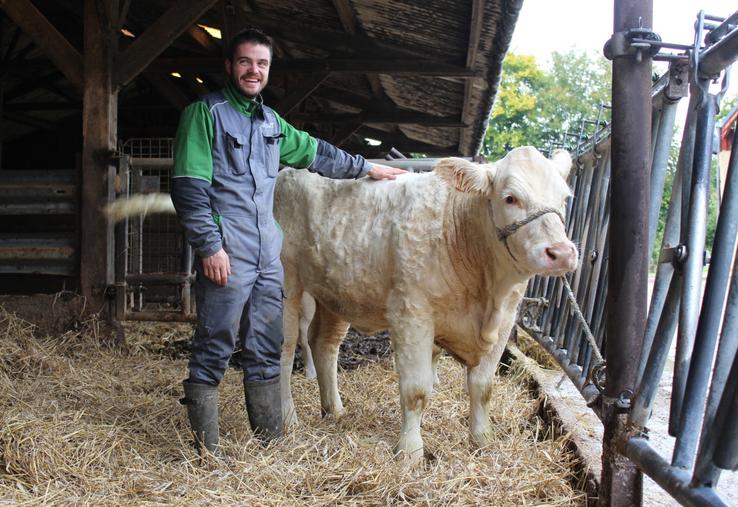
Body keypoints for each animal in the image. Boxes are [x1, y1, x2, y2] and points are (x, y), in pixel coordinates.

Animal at [274, 146, 576, 460]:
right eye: (510, 198)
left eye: (564, 198)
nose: (561, 253)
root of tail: (288, 172)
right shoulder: (412, 314)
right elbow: (416, 390)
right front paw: (410, 452)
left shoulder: (505, 321)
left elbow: (483, 387)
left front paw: (482, 441)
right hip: (287, 282)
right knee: (284, 350)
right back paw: (288, 420)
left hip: (335, 293)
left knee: (325, 344)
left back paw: (333, 409)